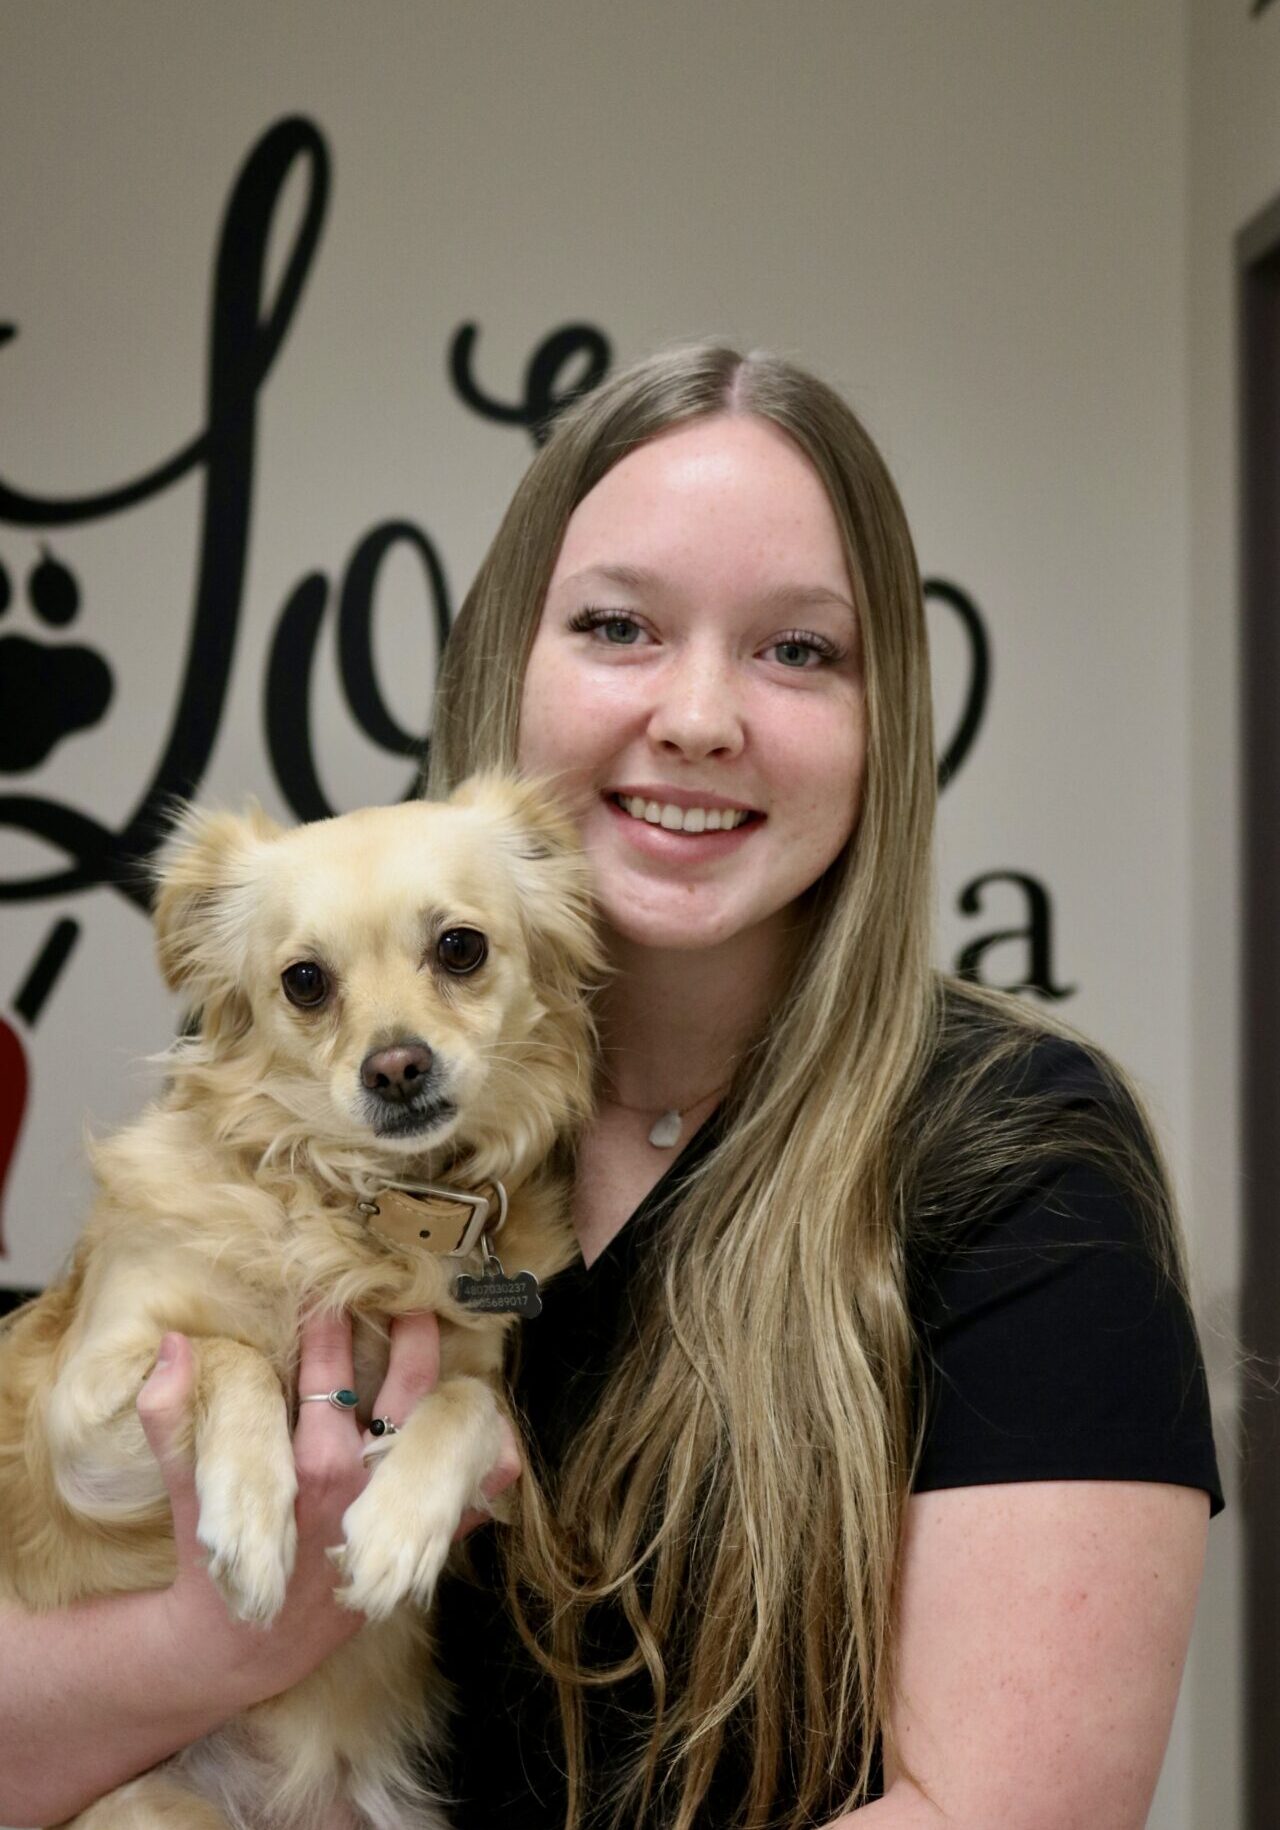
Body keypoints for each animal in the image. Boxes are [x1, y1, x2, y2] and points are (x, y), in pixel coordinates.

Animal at [0, 775, 600, 1830]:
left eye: (461, 948)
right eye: (305, 982)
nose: (396, 1067)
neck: (353, 1217)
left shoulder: (484, 1407)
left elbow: (464, 1401)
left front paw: (397, 1524)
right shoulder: (82, 1420)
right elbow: (230, 1354)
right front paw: (248, 1512)